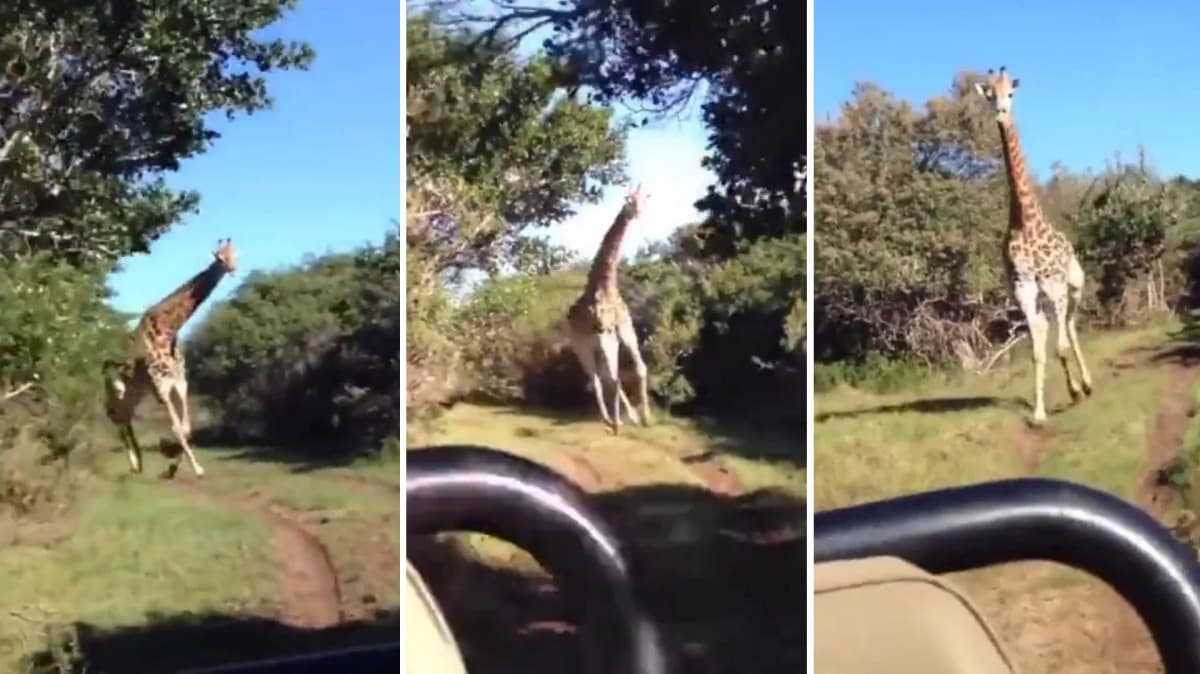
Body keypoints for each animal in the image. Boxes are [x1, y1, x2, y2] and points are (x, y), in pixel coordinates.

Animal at [104, 239, 238, 478]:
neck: (167, 332)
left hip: (131, 399)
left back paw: (138, 464)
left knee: (125, 422)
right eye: (219, 257)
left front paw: (171, 463)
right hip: (115, 399)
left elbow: (185, 428)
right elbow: (176, 427)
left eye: (236, 253)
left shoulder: (180, 383)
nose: (233, 269)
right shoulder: (161, 389)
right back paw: (134, 464)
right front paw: (196, 468)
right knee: (118, 424)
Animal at [565, 184, 651, 434]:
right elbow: (613, 379)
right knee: (596, 379)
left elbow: (640, 368)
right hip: (582, 346)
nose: (638, 214)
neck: (605, 285)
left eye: (644, 200)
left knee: (606, 376)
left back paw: (627, 418)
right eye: (630, 201)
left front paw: (646, 417)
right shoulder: (604, 334)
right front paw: (617, 423)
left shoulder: (623, 328)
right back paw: (609, 420)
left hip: (599, 344)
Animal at [974, 66, 1093, 425]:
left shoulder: (1054, 284)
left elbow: (1060, 347)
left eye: (1010, 94)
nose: (1000, 113)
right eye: (989, 95)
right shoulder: (1023, 288)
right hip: (1044, 297)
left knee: (1070, 326)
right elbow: (1039, 352)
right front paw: (1039, 413)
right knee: (1054, 329)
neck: (1023, 221)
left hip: (1073, 286)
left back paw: (1087, 384)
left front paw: (1076, 390)